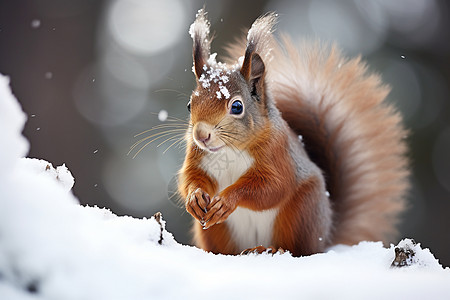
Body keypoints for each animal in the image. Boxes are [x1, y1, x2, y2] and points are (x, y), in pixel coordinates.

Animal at [178, 9, 410, 255]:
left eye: (237, 106)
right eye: (190, 105)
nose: (201, 135)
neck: (228, 150)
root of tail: (325, 236)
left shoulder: (278, 154)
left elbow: (273, 187)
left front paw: (227, 200)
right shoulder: (197, 157)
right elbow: (191, 177)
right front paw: (194, 197)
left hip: (301, 212)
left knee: (299, 248)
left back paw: (272, 249)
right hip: (216, 232)